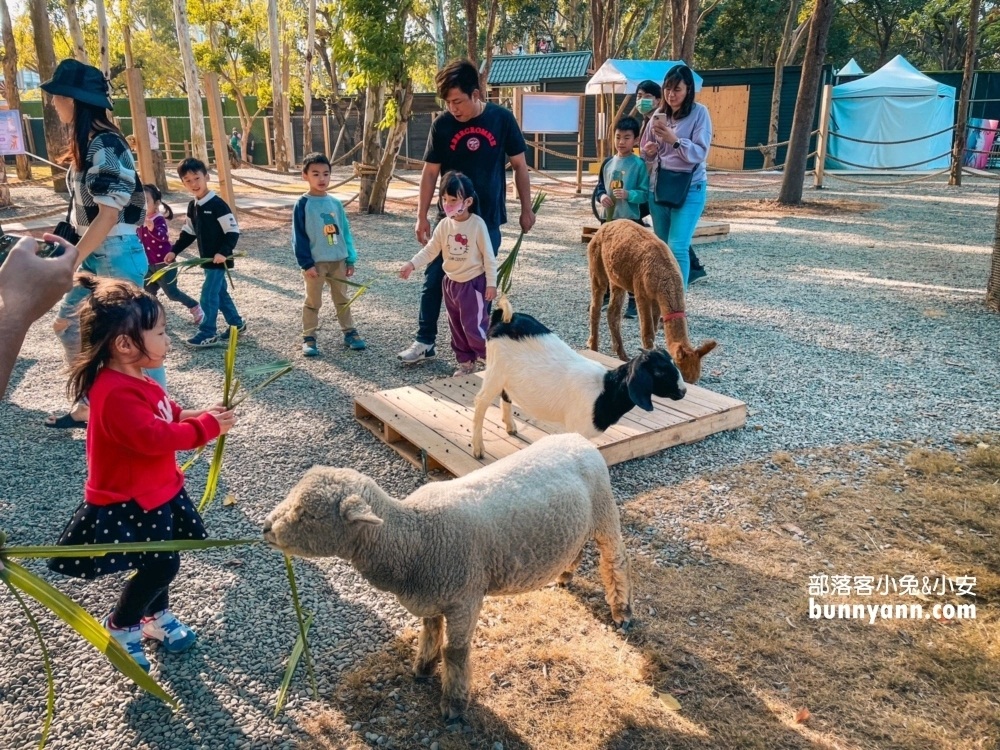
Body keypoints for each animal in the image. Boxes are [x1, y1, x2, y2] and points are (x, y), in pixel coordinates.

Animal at [262, 434, 628, 724]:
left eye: (308, 514)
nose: (265, 528)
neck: (415, 536)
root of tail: (579, 438)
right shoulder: (433, 595)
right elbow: (430, 630)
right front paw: (423, 668)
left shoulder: (465, 597)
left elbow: (456, 652)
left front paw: (453, 704)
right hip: (578, 525)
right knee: (577, 550)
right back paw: (564, 576)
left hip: (604, 511)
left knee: (615, 560)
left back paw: (622, 612)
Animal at [470, 296, 688, 462]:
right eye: (659, 372)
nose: (683, 390)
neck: (605, 391)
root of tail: (503, 318)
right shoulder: (577, 428)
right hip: (494, 370)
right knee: (480, 401)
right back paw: (478, 449)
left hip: (506, 375)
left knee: (505, 395)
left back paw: (510, 427)